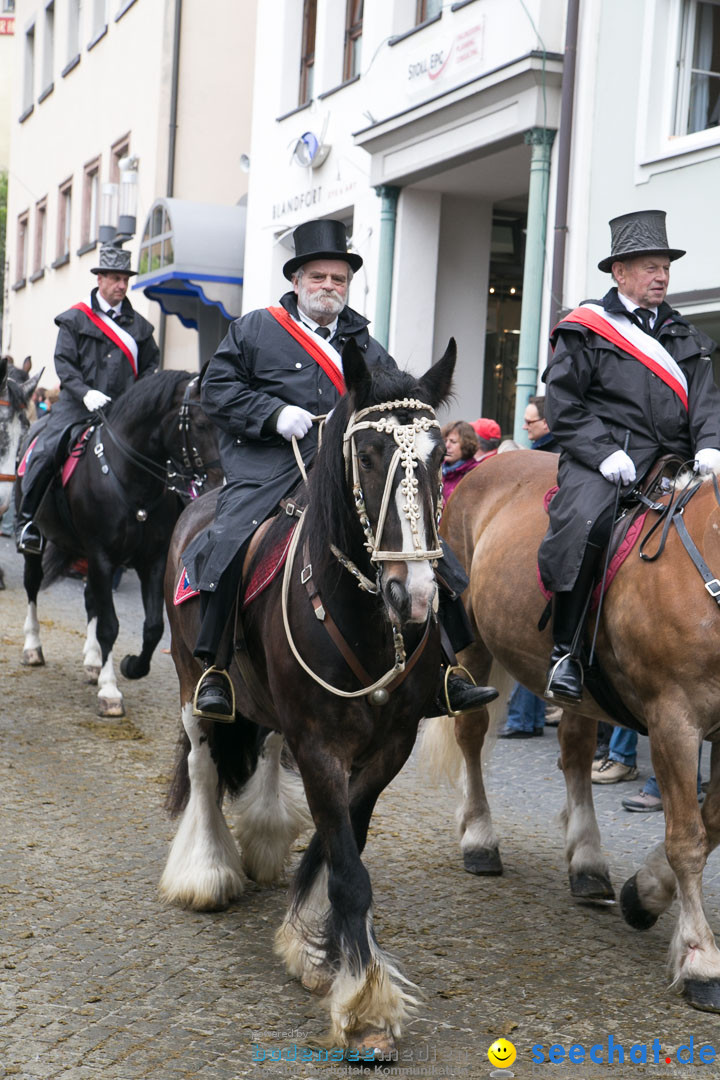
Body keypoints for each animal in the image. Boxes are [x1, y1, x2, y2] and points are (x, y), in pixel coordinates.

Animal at [161, 343, 455, 1054]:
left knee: (265, 749)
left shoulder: (387, 748)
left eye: (441, 456)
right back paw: (205, 872)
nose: (415, 596)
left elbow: (343, 837)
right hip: (191, 683)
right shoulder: (320, 745)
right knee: (203, 766)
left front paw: (313, 947)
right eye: (369, 456)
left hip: (273, 711)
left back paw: (265, 839)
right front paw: (366, 1002)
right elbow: (349, 869)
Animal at [427, 447, 720, 1010]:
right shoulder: (674, 719)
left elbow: (711, 823)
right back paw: (479, 839)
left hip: (584, 692)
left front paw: (643, 894)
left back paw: (587, 862)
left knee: (577, 751)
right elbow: (688, 838)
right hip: (472, 645)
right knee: (471, 734)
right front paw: (700, 958)